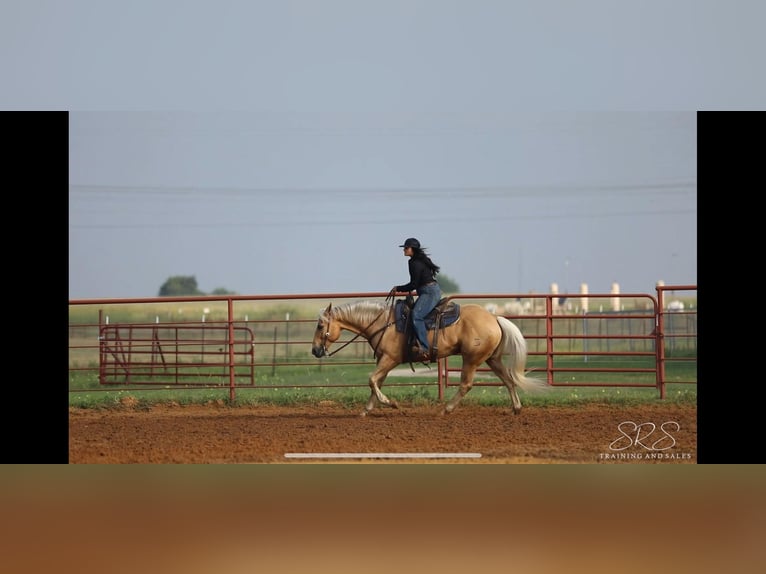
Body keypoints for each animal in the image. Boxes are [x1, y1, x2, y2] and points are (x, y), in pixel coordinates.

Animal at [310, 300, 544, 416]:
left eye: (320, 325)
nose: (315, 350)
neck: (383, 323)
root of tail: (494, 317)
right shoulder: (383, 361)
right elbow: (376, 382)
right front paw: (366, 410)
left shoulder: (390, 359)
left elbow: (372, 380)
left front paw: (391, 404)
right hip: (491, 359)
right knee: (509, 380)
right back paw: (516, 409)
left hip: (471, 359)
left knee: (466, 385)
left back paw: (445, 410)